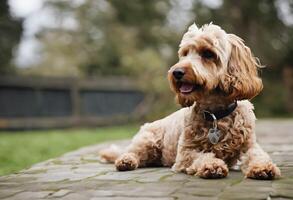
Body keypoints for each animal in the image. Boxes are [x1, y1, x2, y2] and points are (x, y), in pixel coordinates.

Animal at [100, 22, 280, 180]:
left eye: (208, 53)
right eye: (185, 53)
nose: (177, 72)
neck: (216, 114)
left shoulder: (250, 145)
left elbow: (258, 155)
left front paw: (263, 167)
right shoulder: (186, 153)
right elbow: (202, 156)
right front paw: (212, 165)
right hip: (147, 140)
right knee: (132, 152)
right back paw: (126, 160)